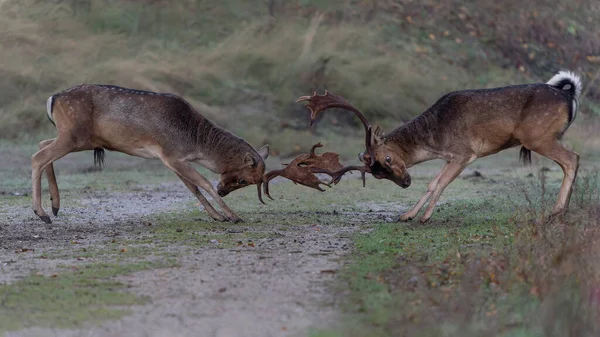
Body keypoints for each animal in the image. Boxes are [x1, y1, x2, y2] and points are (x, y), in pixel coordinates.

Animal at [31, 83, 270, 223]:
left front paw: (218, 216)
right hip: (74, 135)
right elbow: (203, 183)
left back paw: (55, 206)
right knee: (37, 157)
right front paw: (233, 216)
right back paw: (42, 213)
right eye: (243, 179)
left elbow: (192, 188)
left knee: (42, 144)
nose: (223, 191)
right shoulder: (172, 154)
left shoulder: (171, 160)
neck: (195, 142)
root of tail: (52, 99)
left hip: (80, 139)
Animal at [298, 70, 584, 223]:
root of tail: (569, 94)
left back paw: (556, 211)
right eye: (376, 174)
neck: (436, 141)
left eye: (388, 159)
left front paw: (424, 217)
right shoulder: (450, 157)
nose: (405, 182)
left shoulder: (465, 153)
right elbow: (432, 183)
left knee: (573, 158)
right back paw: (565, 208)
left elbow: (441, 183)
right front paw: (407, 215)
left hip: (537, 136)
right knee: (571, 160)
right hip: (543, 138)